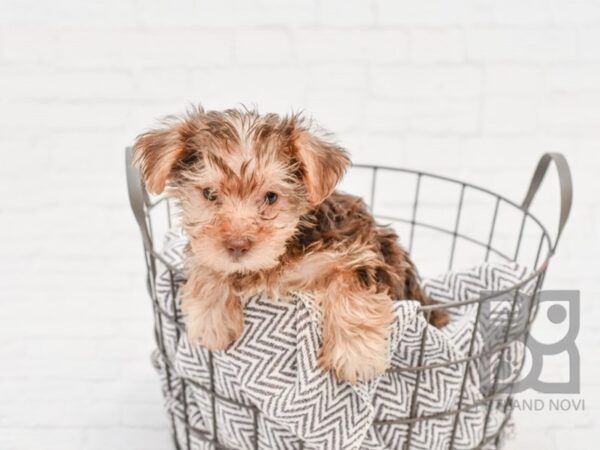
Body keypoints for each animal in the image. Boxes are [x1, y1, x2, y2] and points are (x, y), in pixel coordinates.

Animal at [134, 106, 448, 384]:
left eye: (271, 197)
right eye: (209, 194)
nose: (236, 245)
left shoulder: (365, 251)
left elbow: (352, 286)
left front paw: (355, 356)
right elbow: (207, 262)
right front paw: (212, 322)